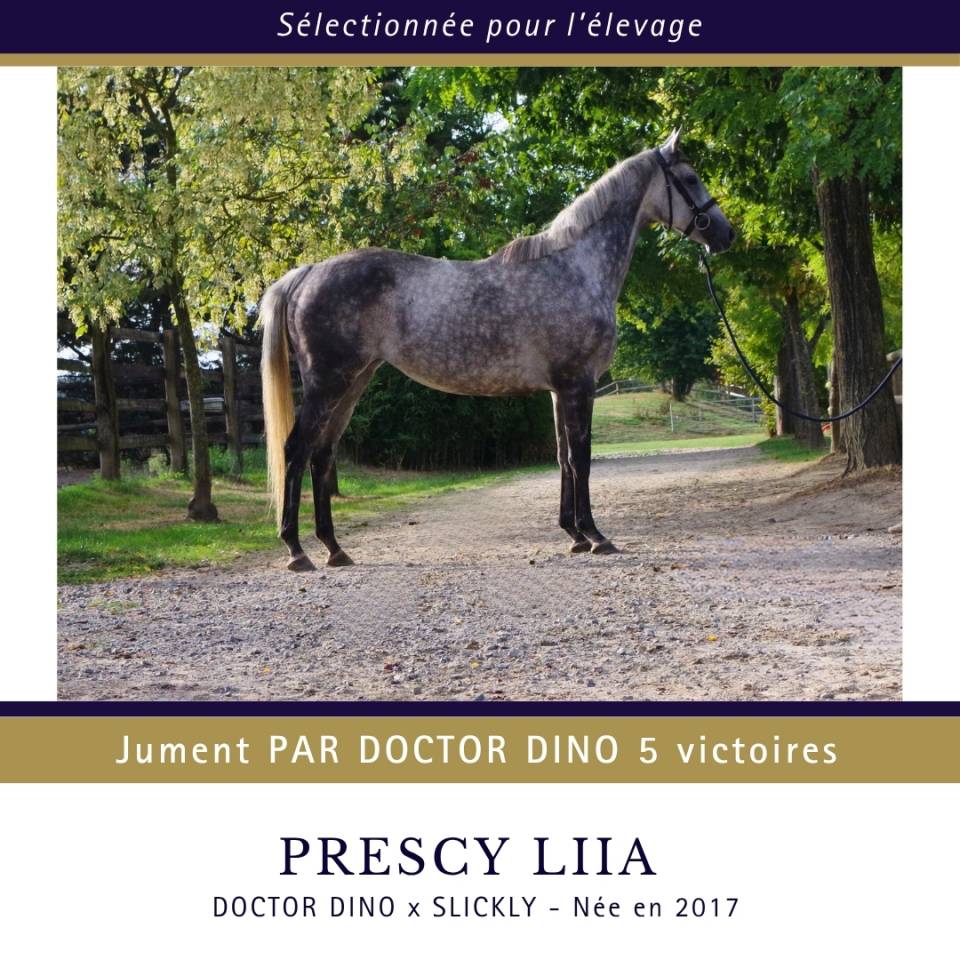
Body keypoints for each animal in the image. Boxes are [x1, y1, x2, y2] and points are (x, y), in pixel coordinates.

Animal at [259, 129, 734, 571]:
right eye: (690, 178)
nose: (726, 235)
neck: (577, 268)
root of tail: (308, 273)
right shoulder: (579, 385)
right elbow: (580, 458)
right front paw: (596, 536)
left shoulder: (559, 391)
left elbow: (563, 459)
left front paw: (574, 535)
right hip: (328, 384)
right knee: (296, 450)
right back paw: (296, 550)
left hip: (354, 383)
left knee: (322, 455)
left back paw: (334, 549)